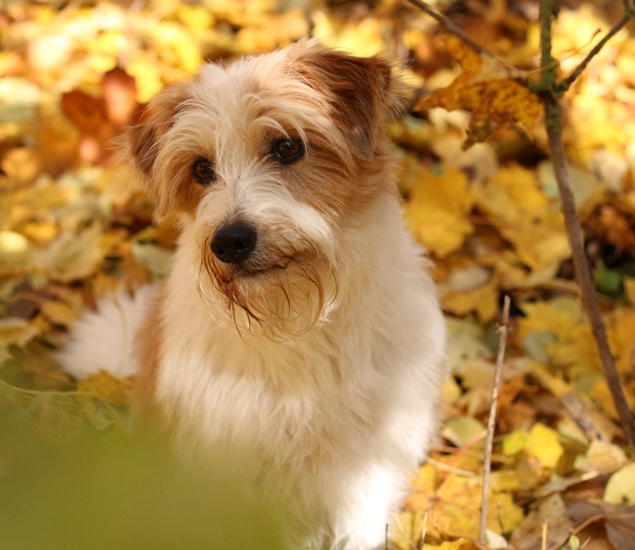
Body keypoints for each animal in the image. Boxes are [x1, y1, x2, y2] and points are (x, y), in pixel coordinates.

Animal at [59, 39, 447, 550]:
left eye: (287, 146)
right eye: (202, 169)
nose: (229, 240)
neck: (294, 322)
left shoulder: (368, 454)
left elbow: (356, 520)